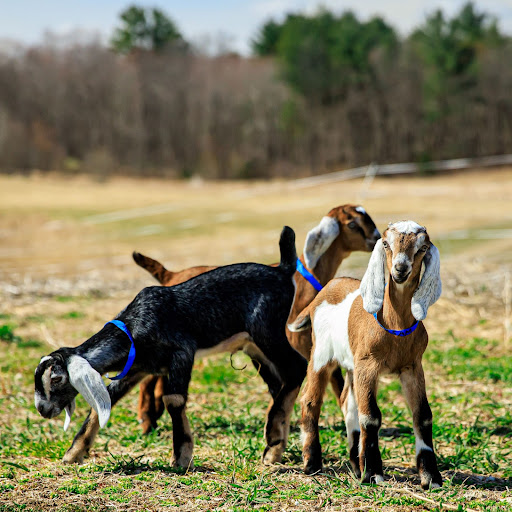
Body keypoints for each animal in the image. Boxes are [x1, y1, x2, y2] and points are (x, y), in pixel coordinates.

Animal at [36, 227, 308, 468]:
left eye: (57, 378)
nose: (42, 409)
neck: (133, 327)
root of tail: (282, 271)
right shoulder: (138, 367)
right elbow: (108, 398)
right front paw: (74, 453)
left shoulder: (182, 352)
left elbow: (173, 400)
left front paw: (182, 456)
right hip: (255, 348)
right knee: (279, 383)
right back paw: (277, 444)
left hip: (267, 331)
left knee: (298, 367)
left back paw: (273, 442)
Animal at [134, 204, 382, 436]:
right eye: (352, 224)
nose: (377, 239)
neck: (304, 279)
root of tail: (171, 275)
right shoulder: (300, 342)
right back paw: (146, 420)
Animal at [290, 220, 442, 488]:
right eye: (386, 244)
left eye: (423, 248)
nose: (400, 269)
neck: (394, 326)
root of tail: (326, 289)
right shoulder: (369, 365)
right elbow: (371, 416)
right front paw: (373, 474)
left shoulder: (412, 366)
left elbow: (422, 415)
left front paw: (431, 477)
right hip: (321, 354)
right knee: (310, 399)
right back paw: (312, 464)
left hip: (352, 365)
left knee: (347, 403)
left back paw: (355, 463)